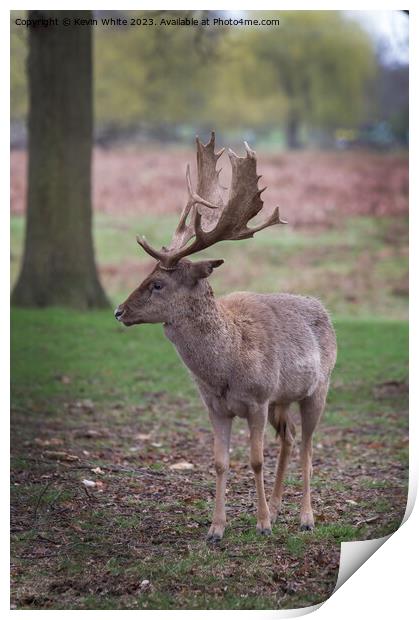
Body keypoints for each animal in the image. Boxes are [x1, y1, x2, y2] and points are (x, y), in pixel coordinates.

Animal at [115, 132, 338, 544]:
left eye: (157, 283)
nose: (118, 311)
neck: (225, 368)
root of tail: (323, 308)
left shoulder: (258, 398)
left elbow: (255, 459)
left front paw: (262, 524)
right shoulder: (215, 406)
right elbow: (219, 462)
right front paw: (216, 529)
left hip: (318, 388)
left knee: (308, 447)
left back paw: (305, 517)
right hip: (283, 399)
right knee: (290, 439)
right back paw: (280, 508)